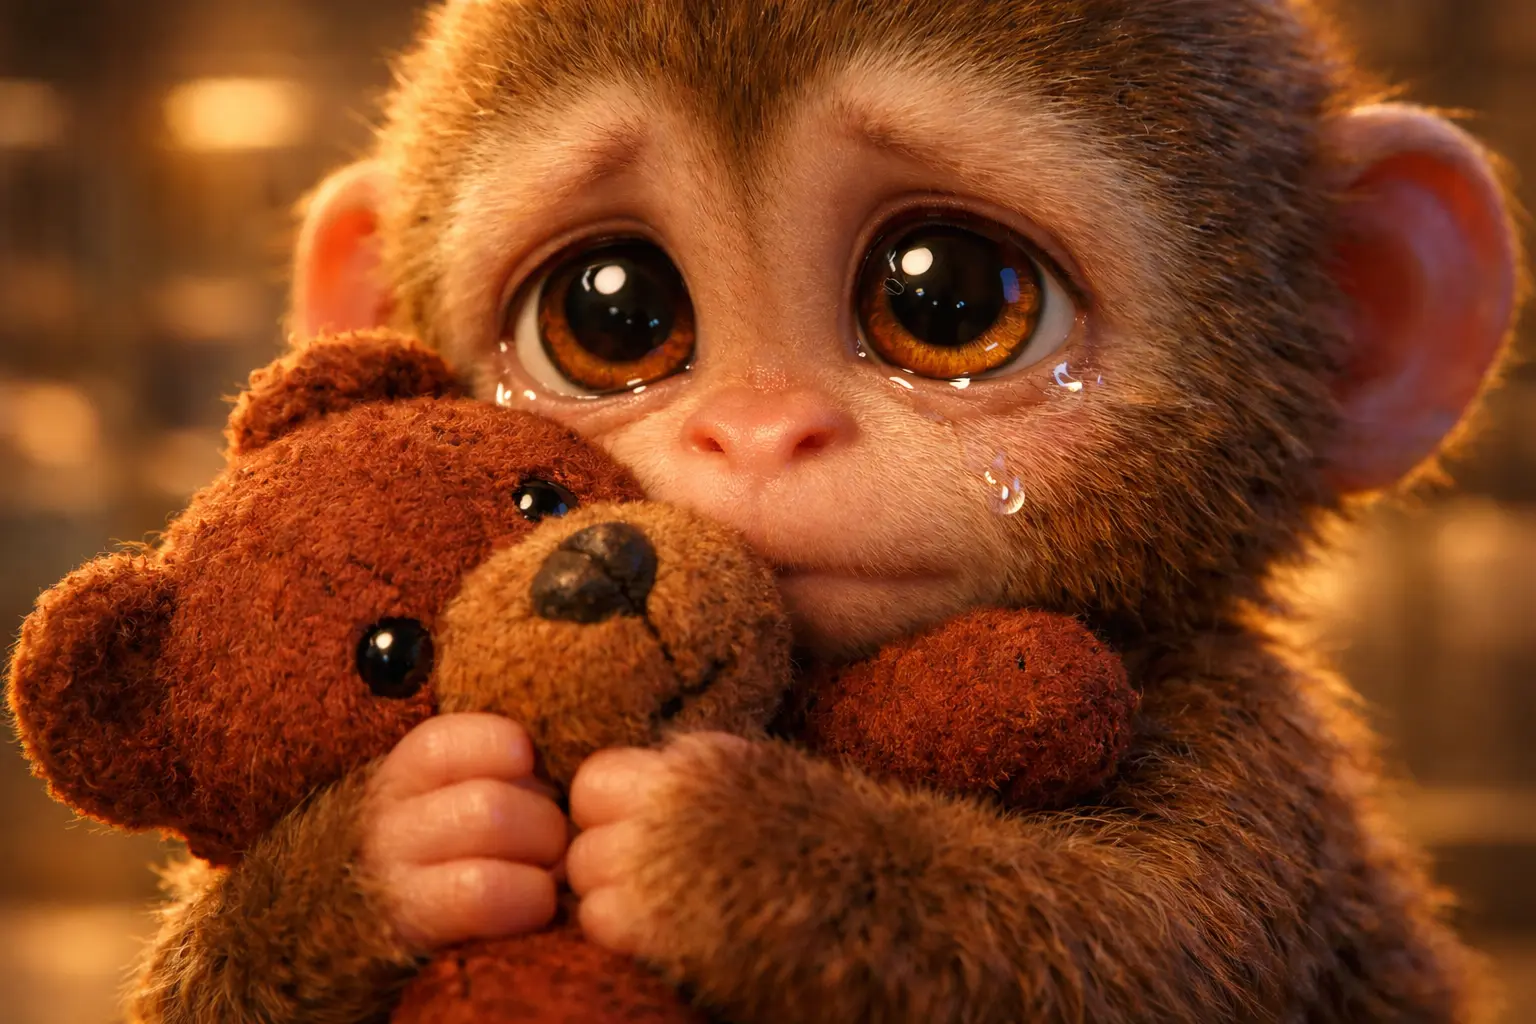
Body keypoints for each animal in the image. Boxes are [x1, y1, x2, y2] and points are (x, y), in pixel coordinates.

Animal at [121, 0, 1521, 1021]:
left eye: (948, 295)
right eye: (611, 312)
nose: (759, 430)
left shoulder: (1256, 767)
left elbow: (1140, 953)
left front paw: (725, 846)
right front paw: (398, 840)